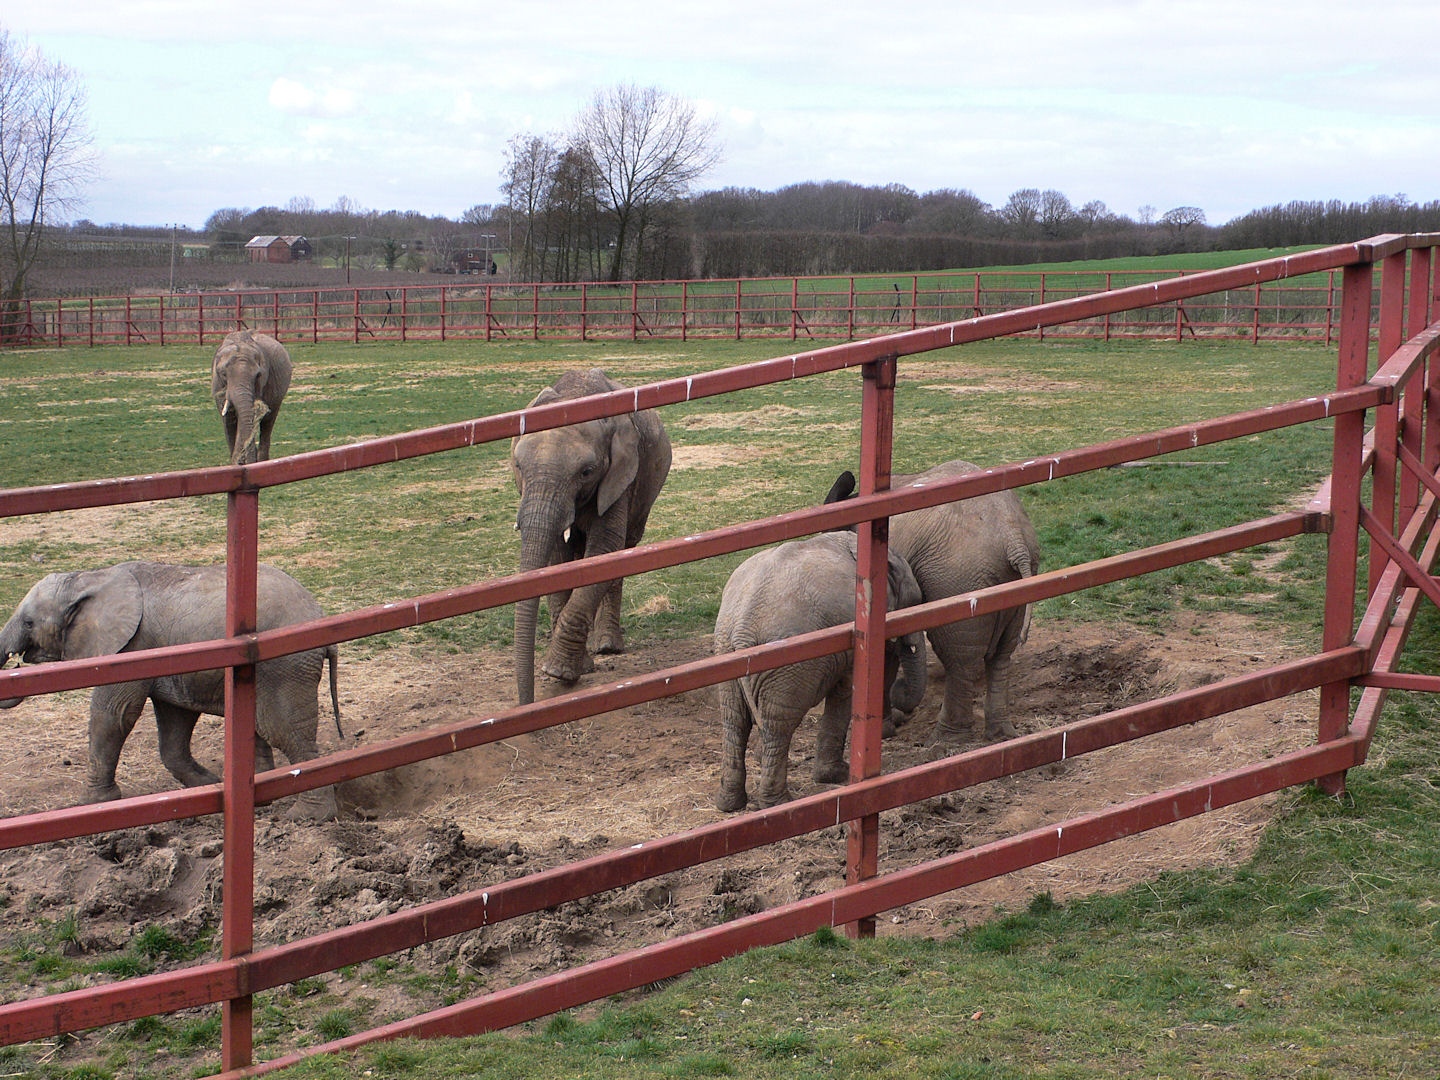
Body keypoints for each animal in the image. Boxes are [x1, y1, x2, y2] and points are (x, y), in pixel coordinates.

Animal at [0, 561, 343, 820]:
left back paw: (308, 817)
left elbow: (114, 715)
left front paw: (92, 804)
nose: (15, 662)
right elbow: (175, 720)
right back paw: (259, 798)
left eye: (29, 623)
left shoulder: (130, 647)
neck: (90, 577)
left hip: (285, 665)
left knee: (286, 731)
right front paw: (209, 784)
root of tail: (320, 617)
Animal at [510, 368, 672, 704]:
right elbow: (557, 556)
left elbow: (605, 546)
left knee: (622, 551)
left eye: (586, 472)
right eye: (518, 465)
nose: (526, 701)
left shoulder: (622, 474)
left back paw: (608, 646)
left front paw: (559, 672)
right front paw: (577, 667)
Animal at [712, 531, 926, 811]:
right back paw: (777, 804)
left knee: (734, 719)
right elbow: (846, 692)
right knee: (777, 726)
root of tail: (741, 628)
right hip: (786, 667)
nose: (903, 711)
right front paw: (835, 775)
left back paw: (730, 803)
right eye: (915, 603)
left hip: (725, 652)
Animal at [825, 459, 1040, 749]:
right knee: (1001, 654)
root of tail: (1014, 540)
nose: (902, 708)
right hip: (1006, 582)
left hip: (958, 578)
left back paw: (945, 741)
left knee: (960, 657)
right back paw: (999, 735)